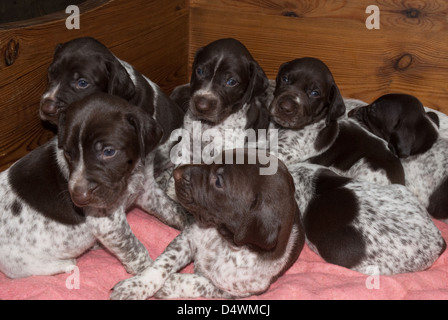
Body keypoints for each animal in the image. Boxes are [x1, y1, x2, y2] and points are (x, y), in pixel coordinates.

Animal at [110, 150, 304, 300]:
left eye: (218, 181)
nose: (177, 172)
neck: (224, 240)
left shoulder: (230, 291)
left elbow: (193, 281)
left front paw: (169, 284)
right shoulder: (186, 240)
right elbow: (160, 266)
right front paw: (135, 286)